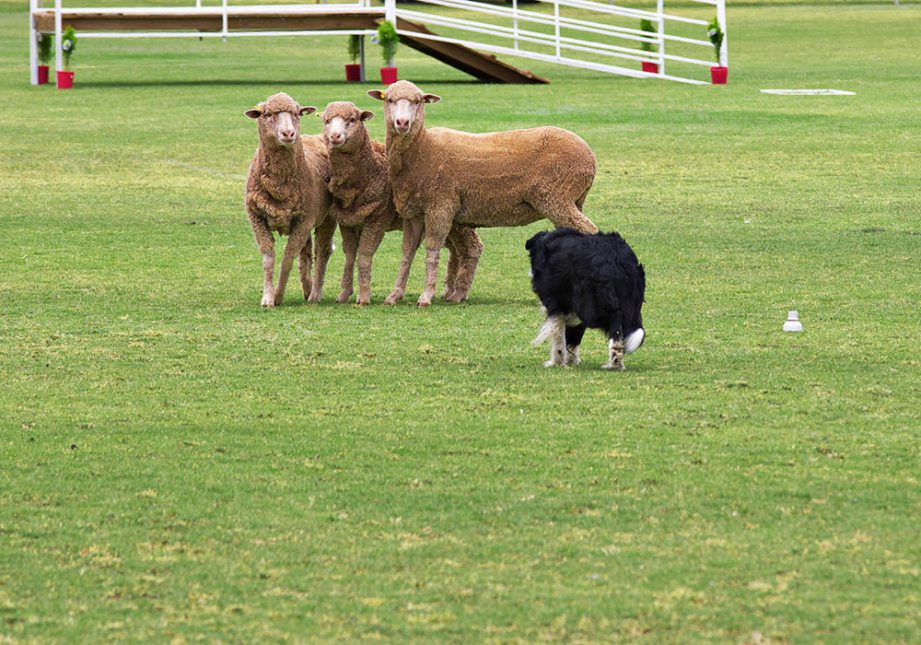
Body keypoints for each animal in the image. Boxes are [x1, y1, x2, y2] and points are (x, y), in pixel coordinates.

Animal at [244, 91, 334, 310]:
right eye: (267, 114)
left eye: (296, 113)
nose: (288, 134)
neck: (280, 188)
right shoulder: (257, 219)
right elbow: (268, 258)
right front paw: (267, 297)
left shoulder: (304, 220)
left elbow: (287, 259)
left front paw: (277, 295)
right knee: (306, 254)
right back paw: (307, 287)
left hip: (325, 217)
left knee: (322, 252)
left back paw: (315, 293)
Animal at [366, 80, 596, 306]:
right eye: (389, 99)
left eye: (418, 101)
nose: (402, 123)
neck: (423, 149)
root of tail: (590, 155)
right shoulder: (412, 213)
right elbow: (407, 252)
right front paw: (395, 294)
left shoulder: (440, 206)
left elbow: (432, 249)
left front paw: (426, 296)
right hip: (572, 200)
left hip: (557, 198)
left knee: (590, 232)